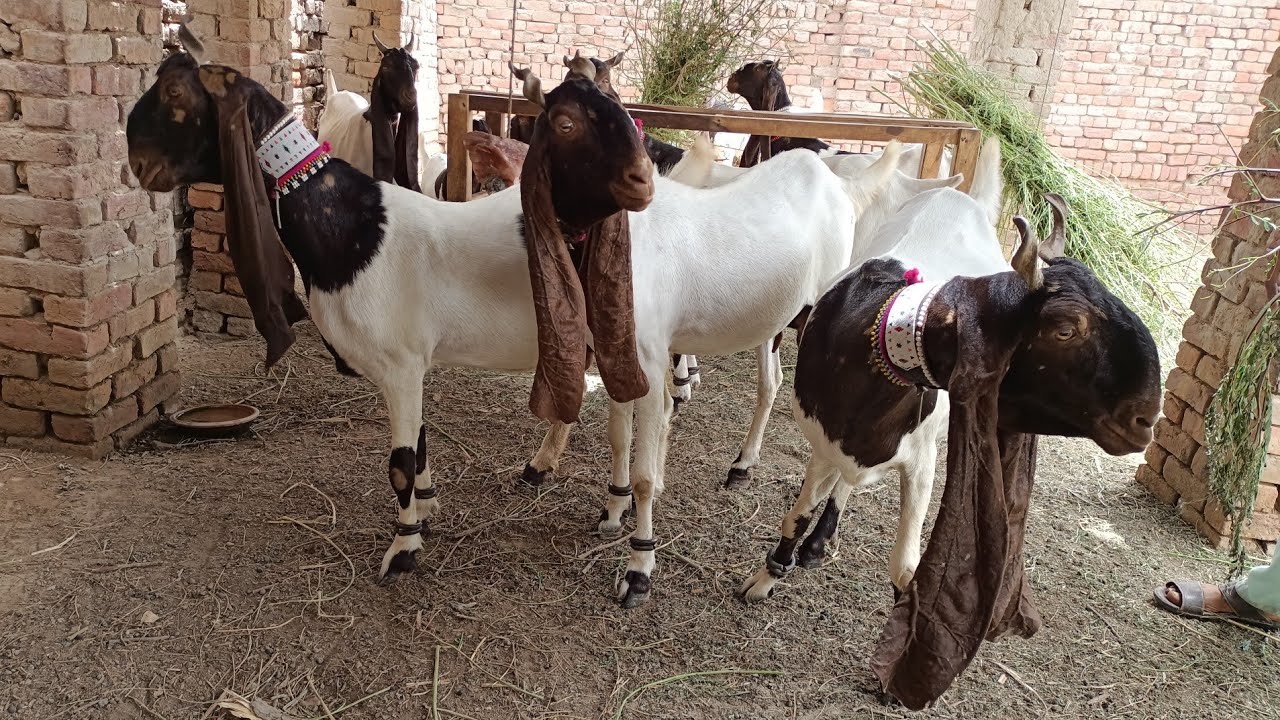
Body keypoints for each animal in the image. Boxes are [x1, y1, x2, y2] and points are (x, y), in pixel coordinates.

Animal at [510, 60, 898, 607]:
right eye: (564, 122)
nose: (640, 182)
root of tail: (839, 187)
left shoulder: (650, 356)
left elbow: (646, 471)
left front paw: (639, 569)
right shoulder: (616, 348)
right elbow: (617, 437)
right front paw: (612, 510)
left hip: (819, 315)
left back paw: (814, 542)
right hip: (776, 319)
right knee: (771, 383)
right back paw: (743, 465)